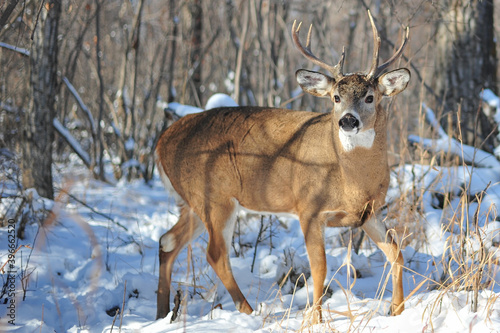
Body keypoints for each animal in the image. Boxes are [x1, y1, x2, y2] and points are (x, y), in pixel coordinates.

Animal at [155, 10, 410, 322]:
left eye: (370, 97)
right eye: (336, 97)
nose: (347, 120)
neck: (352, 182)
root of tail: (161, 142)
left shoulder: (370, 212)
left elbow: (396, 253)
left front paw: (397, 310)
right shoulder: (309, 208)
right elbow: (319, 268)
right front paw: (315, 319)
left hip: (194, 202)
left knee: (167, 240)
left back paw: (163, 313)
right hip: (214, 197)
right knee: (215, 254)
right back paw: (248, 311)